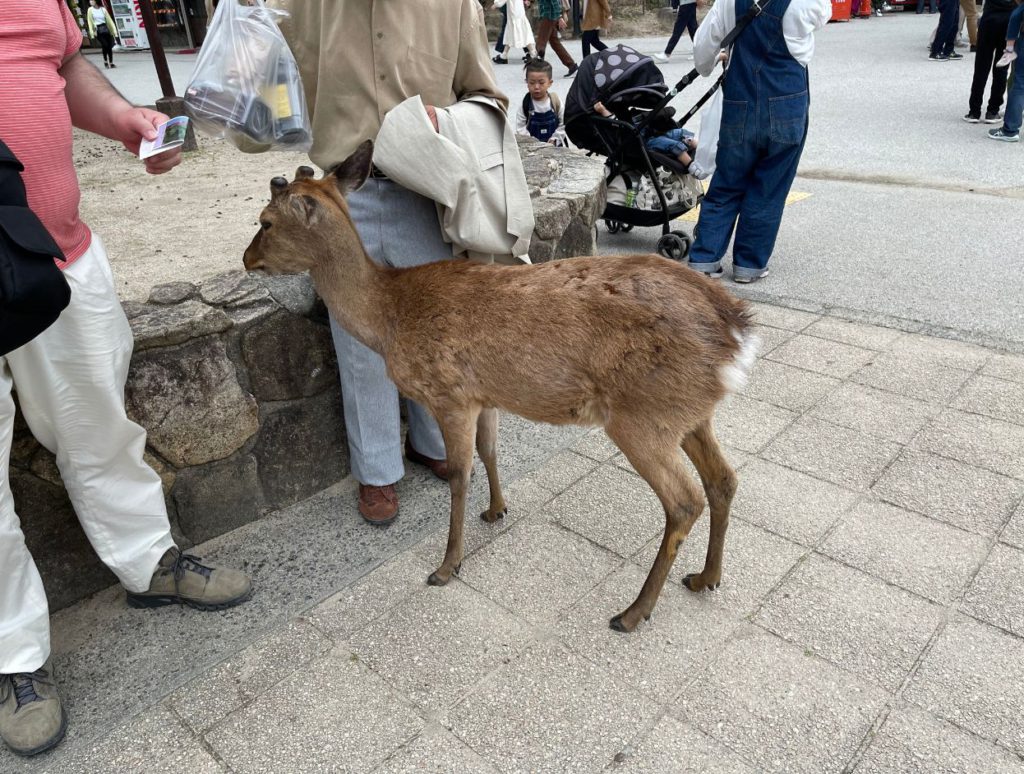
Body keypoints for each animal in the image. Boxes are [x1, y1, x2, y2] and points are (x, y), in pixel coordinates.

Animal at [243, 142, 761, 630]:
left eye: (265, 222)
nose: (248, 259)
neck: (389, 317)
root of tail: (736, 331)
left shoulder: (448, 392)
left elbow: (459, 474)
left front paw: (447, 566)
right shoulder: (483, 393)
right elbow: (490, 450)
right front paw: (496, 510)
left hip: (643, 416)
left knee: (684, 501)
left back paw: (633, 612)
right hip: (691, 411)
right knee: (724, 479)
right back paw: (705, 577)